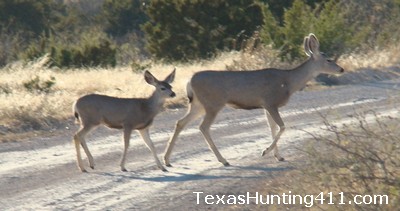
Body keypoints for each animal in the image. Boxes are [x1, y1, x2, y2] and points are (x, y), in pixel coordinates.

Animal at [162, 33, 344, 166]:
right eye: (328, 59)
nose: (341, 69)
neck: (288, 82)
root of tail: (189, 81)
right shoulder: (270, 102)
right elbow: (282, 126)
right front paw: (265, 151)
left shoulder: (266, 106)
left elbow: (272, 127)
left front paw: (278, 156)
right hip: (213, 103)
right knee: (203, 127)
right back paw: (223, 160)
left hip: (198, 104)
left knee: (180, 122)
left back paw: (167, 160)